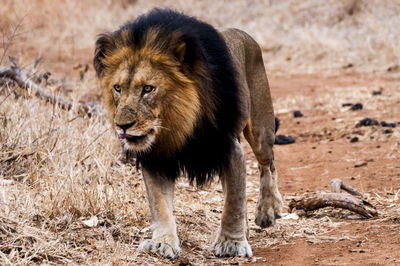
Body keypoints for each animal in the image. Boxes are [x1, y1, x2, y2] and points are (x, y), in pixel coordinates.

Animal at [93, 8, 282, 260]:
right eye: (117, 88)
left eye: (148, 89)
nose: (122, 125)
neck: (176, 124)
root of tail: (241, 33)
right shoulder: (156, 158)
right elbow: (160, 205)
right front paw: (162, 242)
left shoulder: (228, 147)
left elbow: (233, 202)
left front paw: (232, 243)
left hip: (261, 129)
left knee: (267, 164)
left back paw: (268, 211)